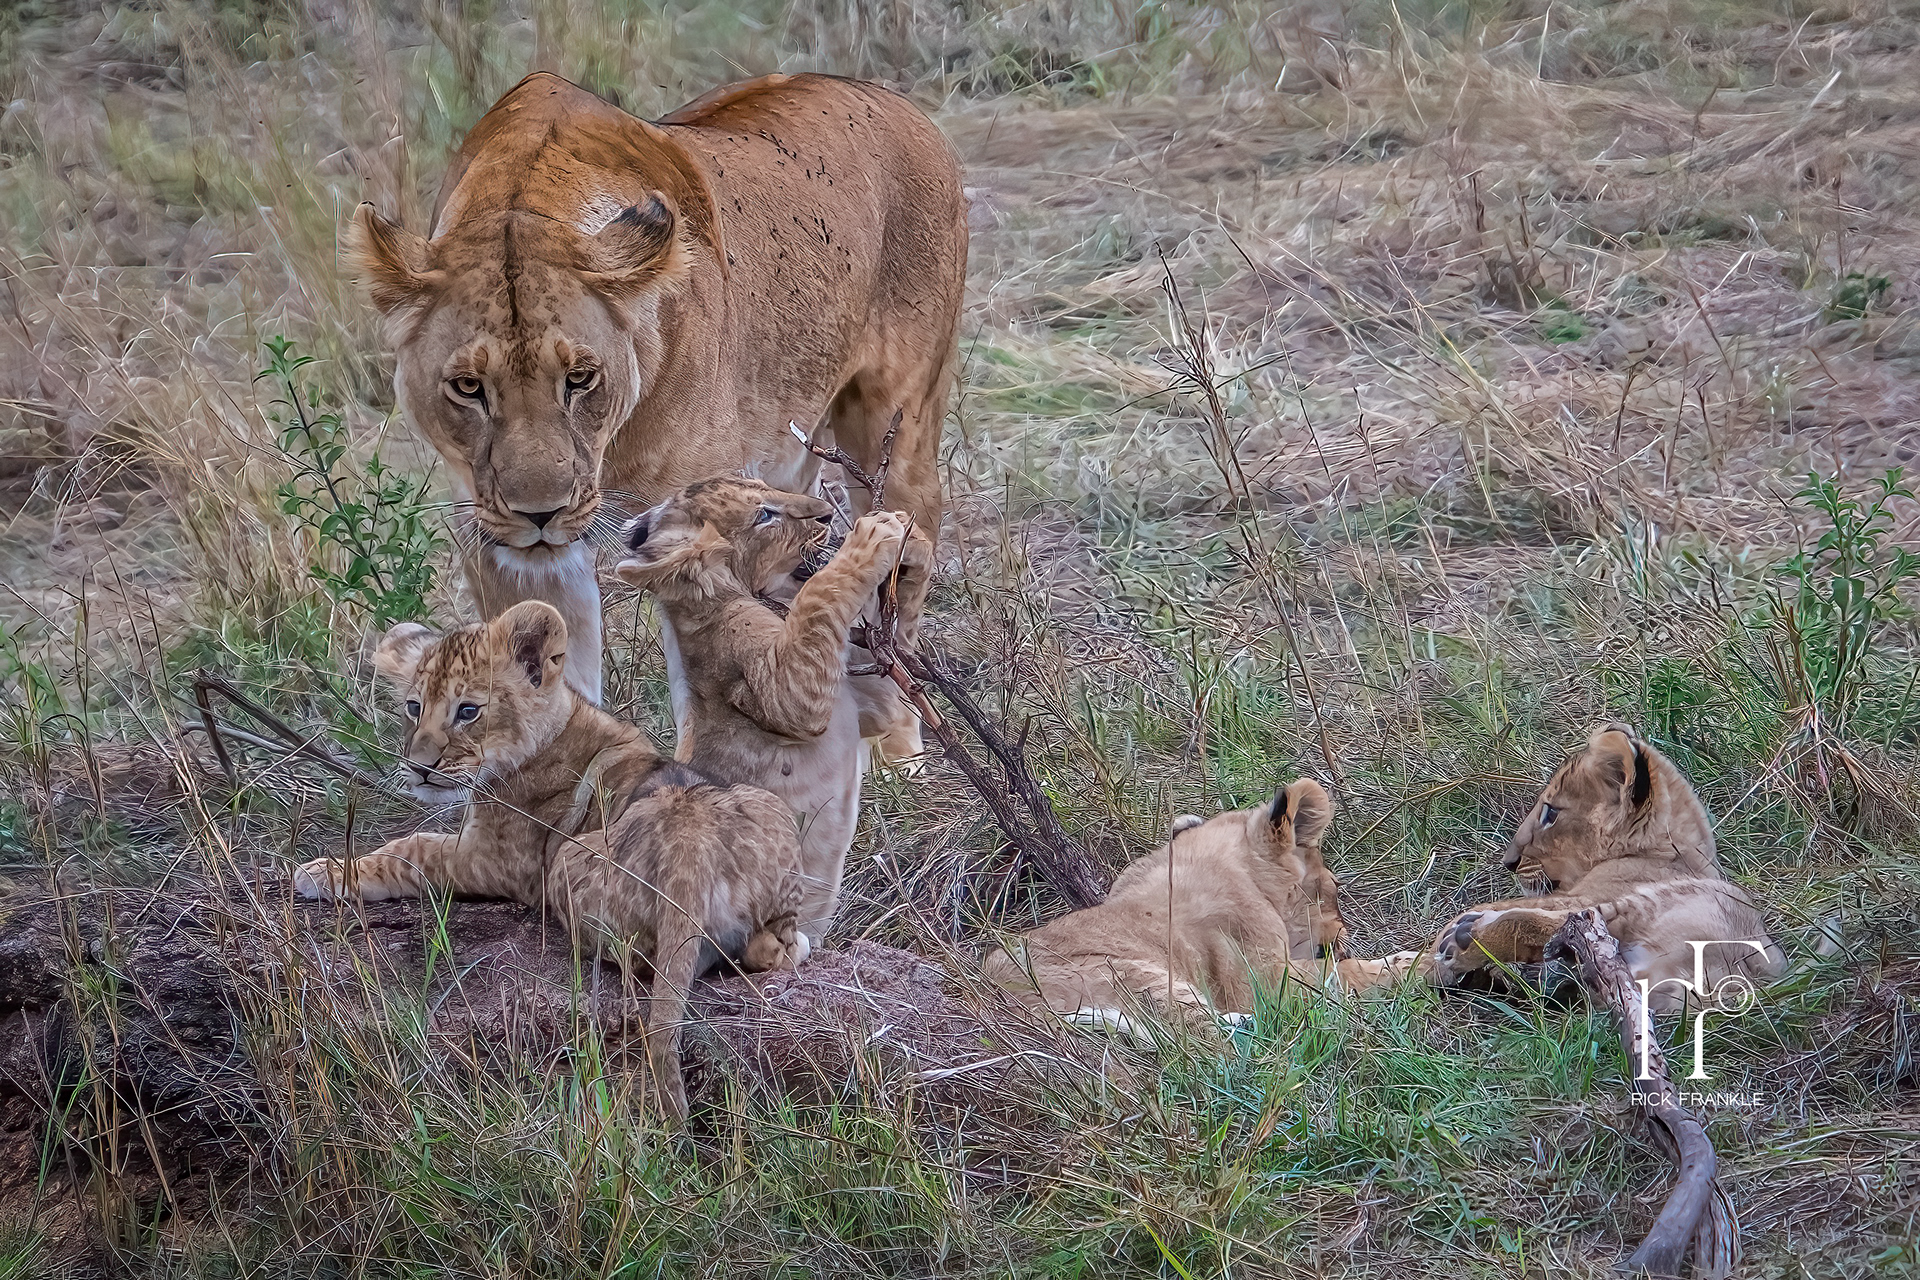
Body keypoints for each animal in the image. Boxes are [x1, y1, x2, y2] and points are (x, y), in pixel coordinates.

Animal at [291, 601, 809, 1121]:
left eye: (468, 711)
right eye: (414, 707)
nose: (417, 768)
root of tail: (692, 843)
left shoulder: (498, 861)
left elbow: (409, 848)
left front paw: (321, 872)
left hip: (567, 859)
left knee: (640, 962)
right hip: (773, 810)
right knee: (770, 950)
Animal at [345, 71, 965, 717]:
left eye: (580, 378)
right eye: (468, 387)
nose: (540, 514)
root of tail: (897, 100)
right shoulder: (502, 549)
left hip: (897, 428)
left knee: (908, 557)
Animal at [612, 476, 925, 942]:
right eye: (764, 515)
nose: (827, 513)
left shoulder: (871, 698)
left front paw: (910, 538)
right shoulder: (785, 688)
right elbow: (818, 592)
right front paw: (870, 536)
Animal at [980, 781, 1419, 1030]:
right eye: (1333, 889)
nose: (1344, 936)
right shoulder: (1264, 982)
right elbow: (1345, 975)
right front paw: (1416, 963)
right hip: (1137, 975)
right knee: (1199, 1039)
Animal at [1426, 723, 1786, 1012]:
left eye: (1551, 813)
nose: (1509, 862)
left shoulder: (1580, 896)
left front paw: (1428, 956)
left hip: (1632, 907)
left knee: (1544, 926)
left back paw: (1464, 944)